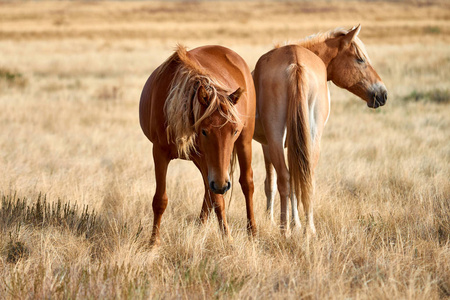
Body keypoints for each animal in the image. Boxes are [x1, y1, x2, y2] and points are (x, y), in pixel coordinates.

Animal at [139, 45, 256, 246]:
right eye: (204, 131)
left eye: (234, 130)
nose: (223, 184)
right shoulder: (159, 153)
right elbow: (160, 199)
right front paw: (154, 242)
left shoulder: (211, 164)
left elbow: (218, 199)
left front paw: (228, 239)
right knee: (209, 191)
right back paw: (200, 227)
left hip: (243, 143)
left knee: (246, 183)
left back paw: (253, 232)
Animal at [253, 25, 386, 232]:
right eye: (360, 59)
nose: (383, 93)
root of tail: (296, 63)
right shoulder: (283, 144)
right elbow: (288, 183)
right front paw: (294, 223)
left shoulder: (271, 144)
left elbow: (274, 183)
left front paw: (283, 222)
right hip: (310, 139)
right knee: (306, 178)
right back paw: (308, 230)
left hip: (279, 140)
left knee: (286, 179)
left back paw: (286, 230)